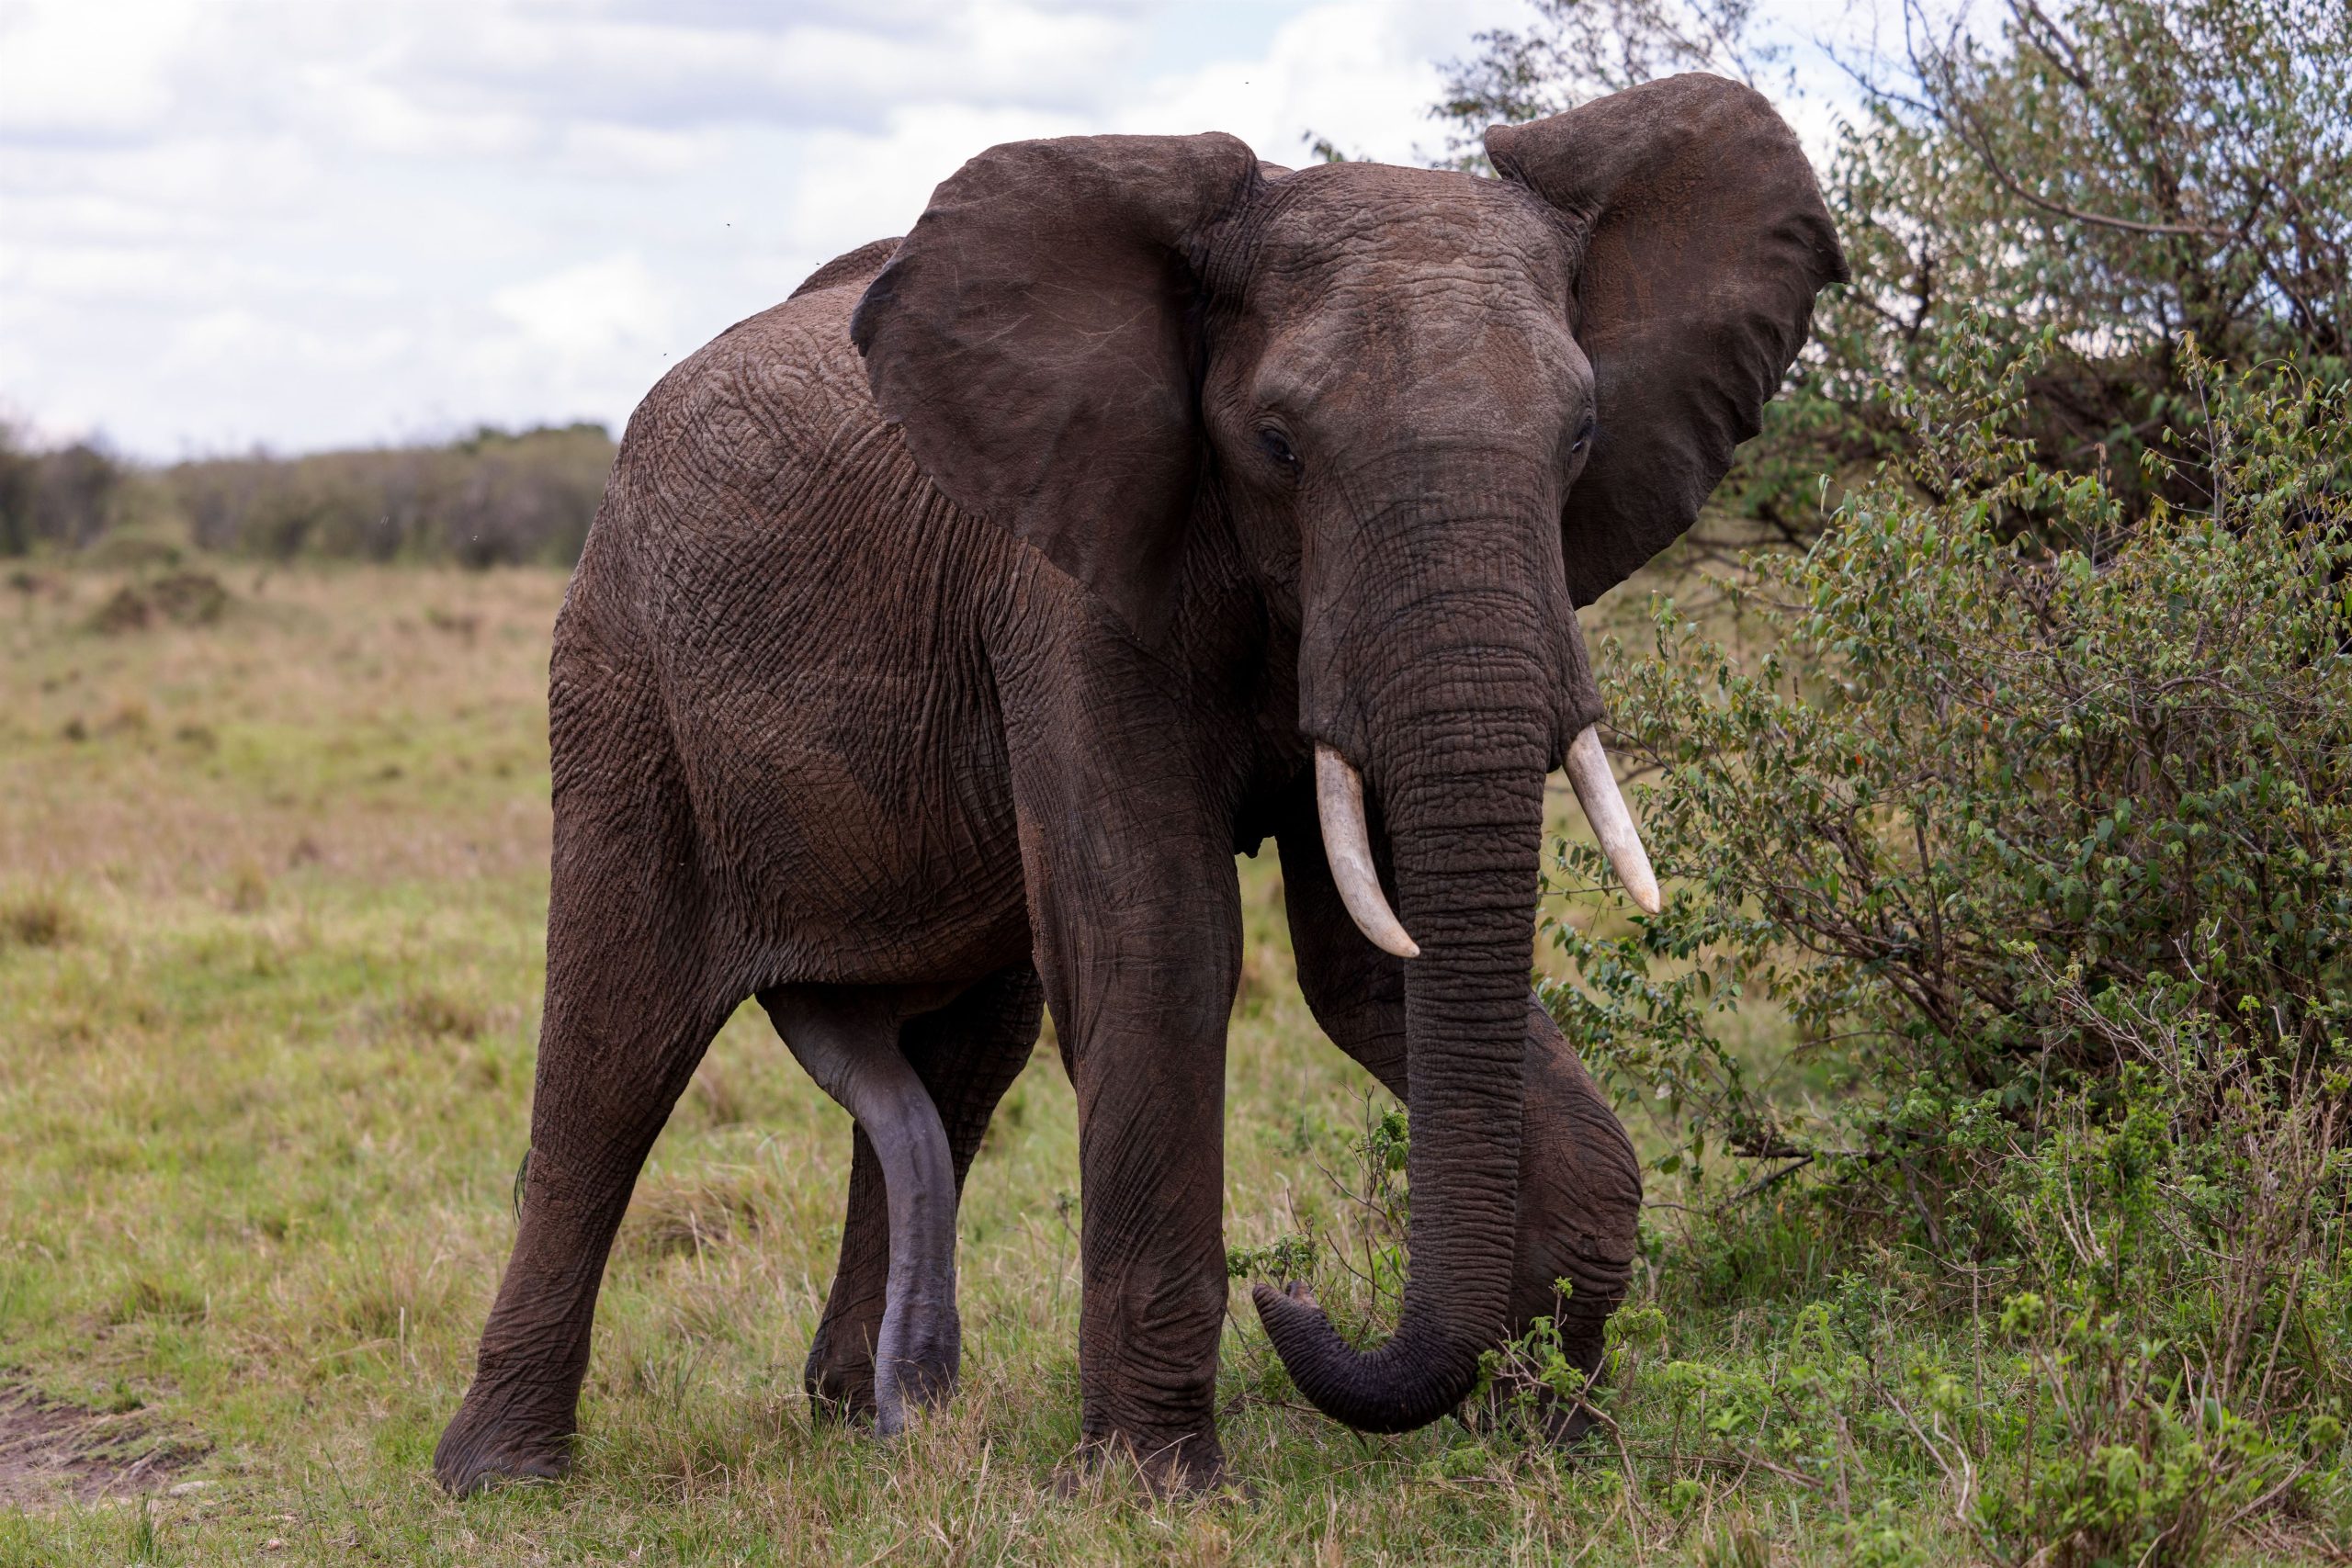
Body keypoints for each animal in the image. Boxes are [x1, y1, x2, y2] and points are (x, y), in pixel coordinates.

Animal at [432, 72, 1844, 1495]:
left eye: (1584, 434)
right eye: (1277, 443)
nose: (1296, 1300)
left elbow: (1371, 967)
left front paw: (1553, 1430)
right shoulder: (1064, 587)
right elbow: (1156, 942)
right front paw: (1155, 1486)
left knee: (958, 1061)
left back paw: (868, 1413)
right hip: (622, 675)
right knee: (613, 1048)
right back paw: (499, 1473)